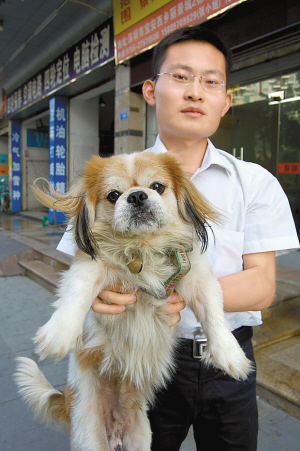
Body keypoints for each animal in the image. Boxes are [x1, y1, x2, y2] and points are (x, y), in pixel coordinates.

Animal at [14, 153, 251, 451]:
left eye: (158, 187)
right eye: (113, 195)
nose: (137, 196)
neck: (143, 248)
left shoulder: (197, 278)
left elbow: (213, 315)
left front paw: (231, 356)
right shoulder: (89, 268)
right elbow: (77, 293)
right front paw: (59, 334)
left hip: (141, 436)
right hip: (88, 435)